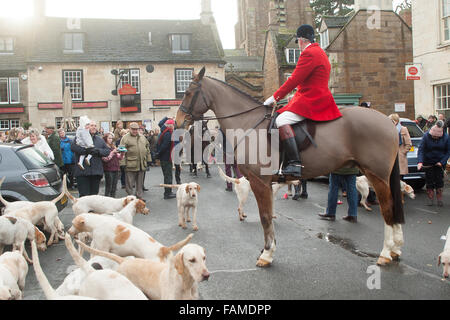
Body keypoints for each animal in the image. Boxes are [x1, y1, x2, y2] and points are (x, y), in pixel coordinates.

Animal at [175, 67, 404, 268]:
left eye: (188, 92)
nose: (178, 122)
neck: (249, 123)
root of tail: (387, 122)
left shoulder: (260, 182)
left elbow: (265, 217)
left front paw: (267, 254)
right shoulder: (264, 184)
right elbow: (268, 215)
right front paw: (266, 250)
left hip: (376, 175)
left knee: (387, 209)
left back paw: (385, 253)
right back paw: (396, 249)